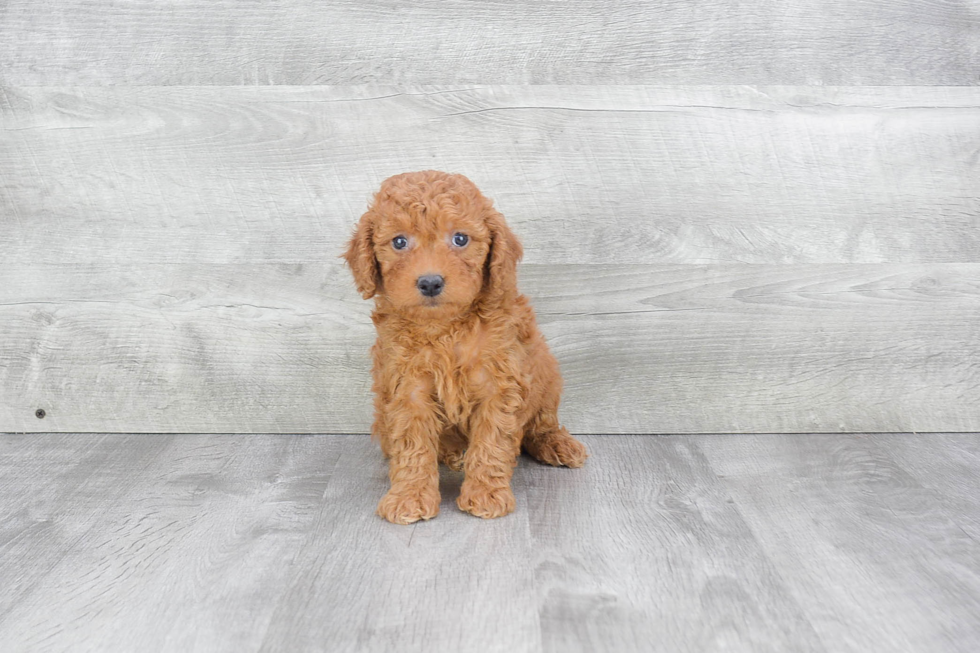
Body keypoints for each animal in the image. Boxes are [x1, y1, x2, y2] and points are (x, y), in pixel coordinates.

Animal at [344, 171, 584, 524]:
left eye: (460, 239)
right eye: (399, 242)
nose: (430, 282)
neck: (445, 328)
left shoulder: (500, 382)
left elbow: (492, 441)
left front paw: (486, 494)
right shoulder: (407, 387)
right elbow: (412, 444)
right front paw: (409, 496)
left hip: (546, 374)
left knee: (540, 423)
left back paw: (556, 443)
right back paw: (454, 453)